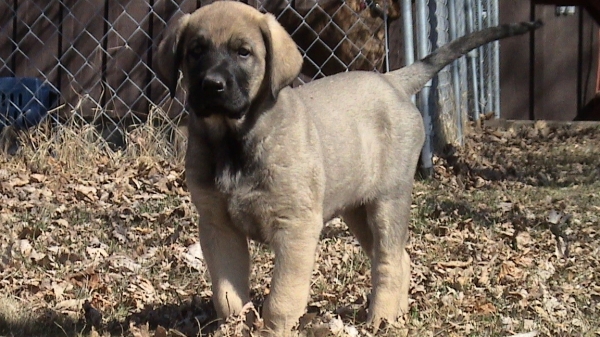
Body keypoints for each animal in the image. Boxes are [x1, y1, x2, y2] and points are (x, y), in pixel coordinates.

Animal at [157, 1, 540, 334]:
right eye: (195, 51)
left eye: (243, 52)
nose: (212, 85)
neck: (234, 141)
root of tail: (392, 80)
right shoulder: (218, 226)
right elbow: (228, 296)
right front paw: (234, 325)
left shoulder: (295, 227)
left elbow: (282, 298)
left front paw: (274, 329)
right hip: (358, 209)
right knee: (400, 258)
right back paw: (396, 314)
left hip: (389, 201)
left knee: (388, 261)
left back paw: (380, 317)